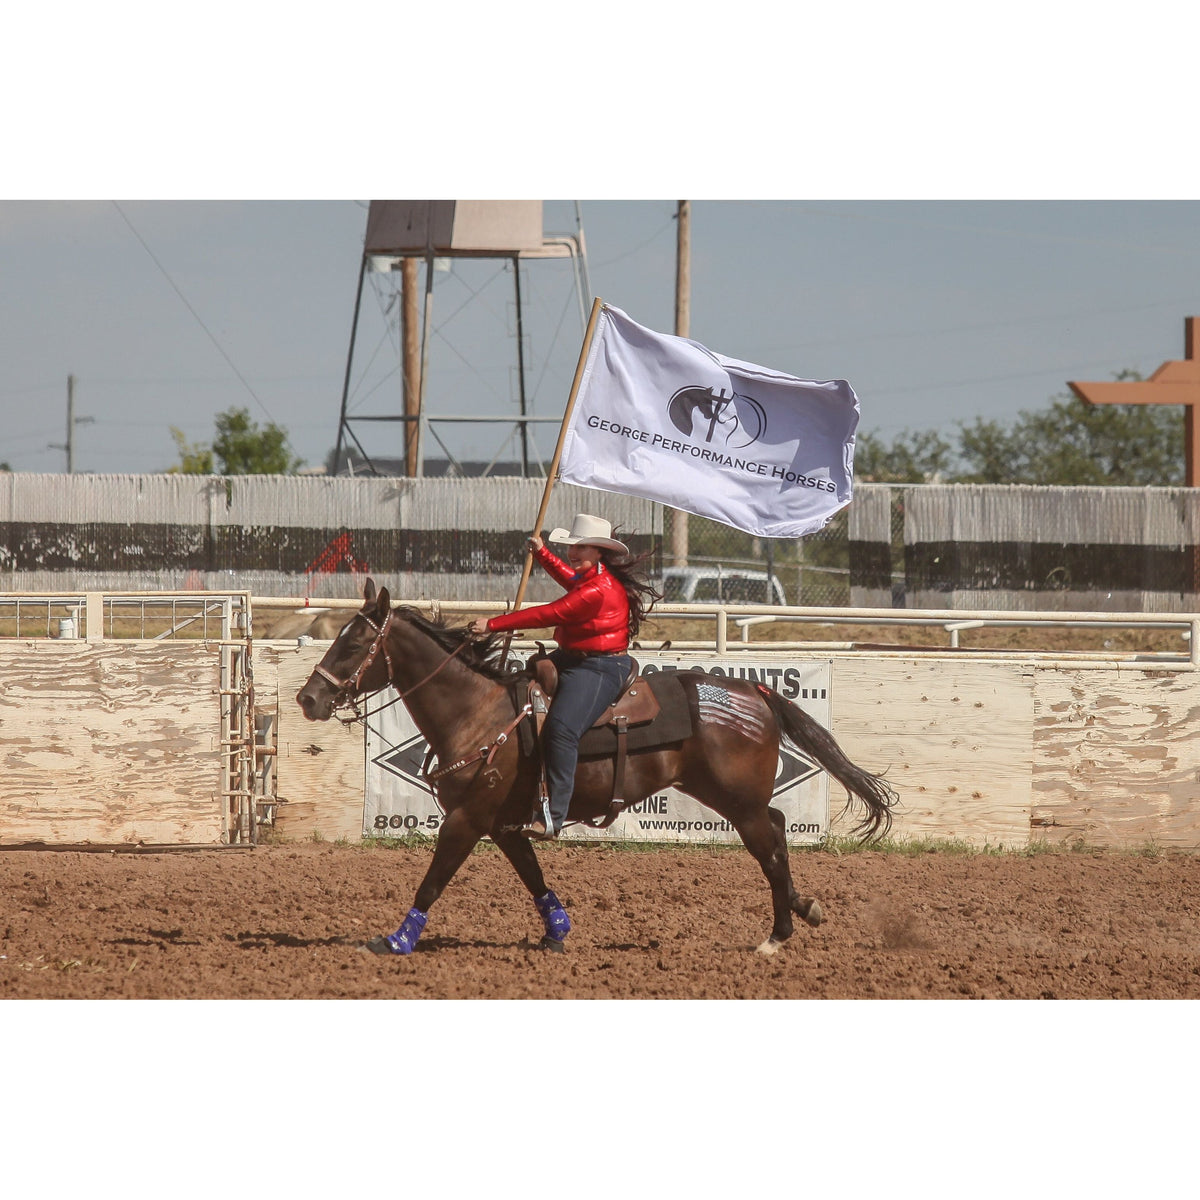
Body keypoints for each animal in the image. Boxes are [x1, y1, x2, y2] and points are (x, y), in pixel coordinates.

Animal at [297, 578, 902, 955]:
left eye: (352, 643)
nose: (307, 699)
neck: (479, 712)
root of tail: (754, 691)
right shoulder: (504, 824)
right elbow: (534, 877)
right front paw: (557, 932)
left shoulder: (466, 820)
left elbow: (432, 882)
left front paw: (396, 941)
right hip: (735, 797)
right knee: (776, 834)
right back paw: (801, 911)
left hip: (738, 800)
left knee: (770, 846)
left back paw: (776, 935)